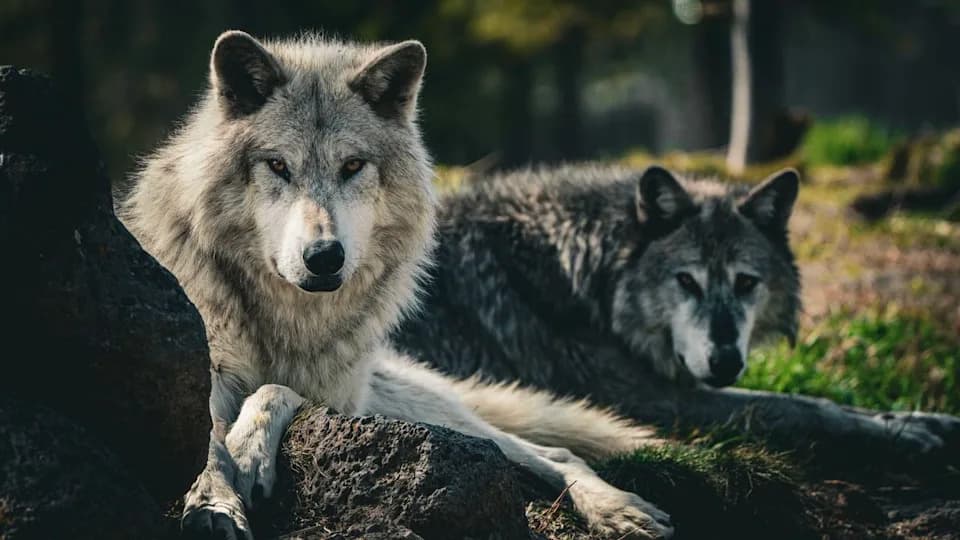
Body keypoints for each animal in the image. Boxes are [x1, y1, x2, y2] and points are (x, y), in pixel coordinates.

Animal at [118, 31, 675, 539]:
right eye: (278, 165)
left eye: (352, 166)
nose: (324, 257)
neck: (287, 320)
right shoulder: (201, 370)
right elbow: (207, 442)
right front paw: (215, 503)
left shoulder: (341, 398)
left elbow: (274, 389)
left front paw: (248, 453)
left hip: (411, 409)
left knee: (554, 452)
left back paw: (619, 508)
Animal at [394, 165, 960, 458]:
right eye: (686, 281)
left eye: (746, 283)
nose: (725, 361)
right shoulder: (652, 398)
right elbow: (798, 406)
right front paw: (904, 433)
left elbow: (817, 399)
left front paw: (925, 418)